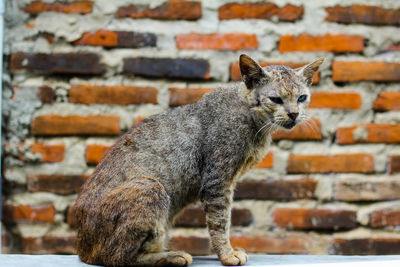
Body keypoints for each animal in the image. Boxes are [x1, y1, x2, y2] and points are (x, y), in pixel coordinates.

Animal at [73, 53, 324, 266]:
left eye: (302, 97)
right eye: (276, 99)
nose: (294, 114)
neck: (253, 122)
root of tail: (82, 248)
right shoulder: (217, 181)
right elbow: (220, 223)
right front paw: (227, 254)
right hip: (149, 187)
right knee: (117, 256)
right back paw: (170, 256)